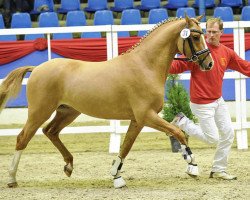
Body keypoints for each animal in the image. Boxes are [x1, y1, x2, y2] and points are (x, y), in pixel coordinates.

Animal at [0, 16, 214, 189]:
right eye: (196, 37)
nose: (209, 63)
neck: (144, 65)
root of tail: (36, 68)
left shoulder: (138, 120)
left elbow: (126, 147)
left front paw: (116, 177)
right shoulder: (147, 116)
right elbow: (178, 132)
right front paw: (192, 165)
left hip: (67, 112)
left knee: (50, 131)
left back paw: (68, 165)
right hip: (39, 111)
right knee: (22, 138)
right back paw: (12, 179)